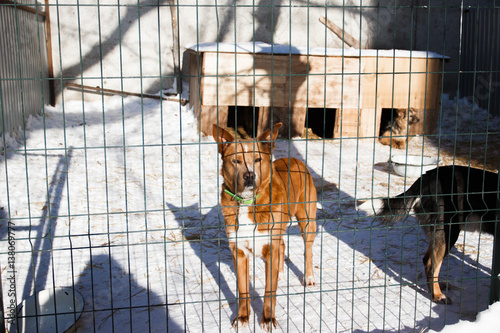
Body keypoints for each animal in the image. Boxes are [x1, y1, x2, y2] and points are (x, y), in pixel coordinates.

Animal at [212, 122, 316, 330]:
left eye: (258, 159)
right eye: (236, 161)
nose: (249, 175)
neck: (247, 202)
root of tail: (296, 159)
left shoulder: (270, 245)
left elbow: (269, 291)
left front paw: (268, 320)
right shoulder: (239, 250)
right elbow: (243, 289)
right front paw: (242, 317)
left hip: (307, 220)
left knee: (307, 248)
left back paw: (308, 277)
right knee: (283, 244)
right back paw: (281, 273)